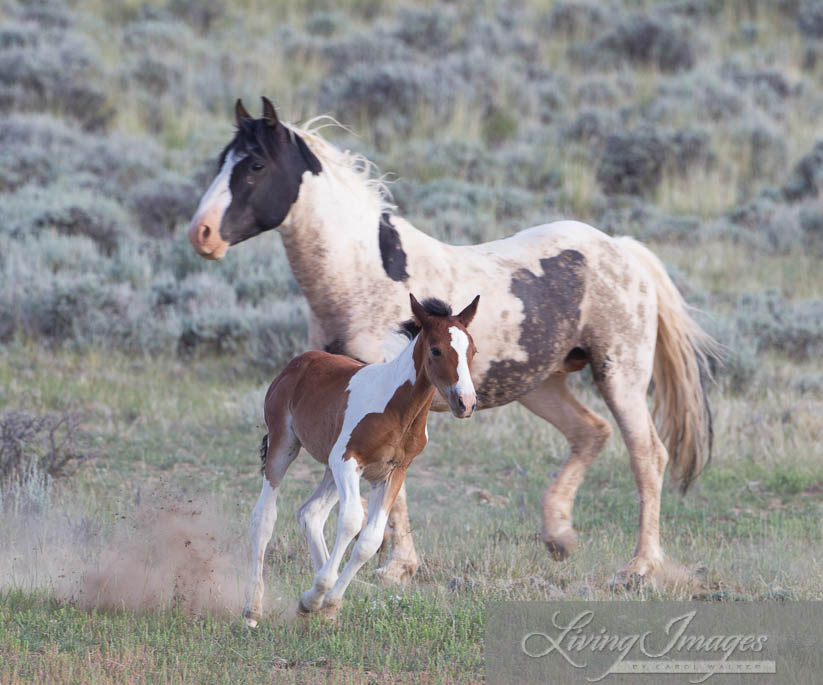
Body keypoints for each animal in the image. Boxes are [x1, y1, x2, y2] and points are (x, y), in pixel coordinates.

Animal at [190, 96, 716, 588]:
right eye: (221, 159)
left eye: (256, 164)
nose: (202, 233)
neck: (364, 278)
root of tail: (624, 250)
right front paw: (393, 563)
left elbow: (392, 489)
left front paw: (395, 567)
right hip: (540, 384)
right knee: (591, 432)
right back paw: (559, 536)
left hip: (620, 376)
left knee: (647, 456)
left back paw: (640, 566)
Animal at [241, 294, 480, 624]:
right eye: (436, 349)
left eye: (472, 350)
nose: (466, 403)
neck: (398, 411)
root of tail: (297, 363)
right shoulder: (347, 460)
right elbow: (352, 521)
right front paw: (322, 595)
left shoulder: (392, 472)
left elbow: (370, 539)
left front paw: (325, 602)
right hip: (285, 444)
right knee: (263, 517)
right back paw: (253, 609)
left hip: (330, 468)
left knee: (310, 513)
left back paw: (315, 603)